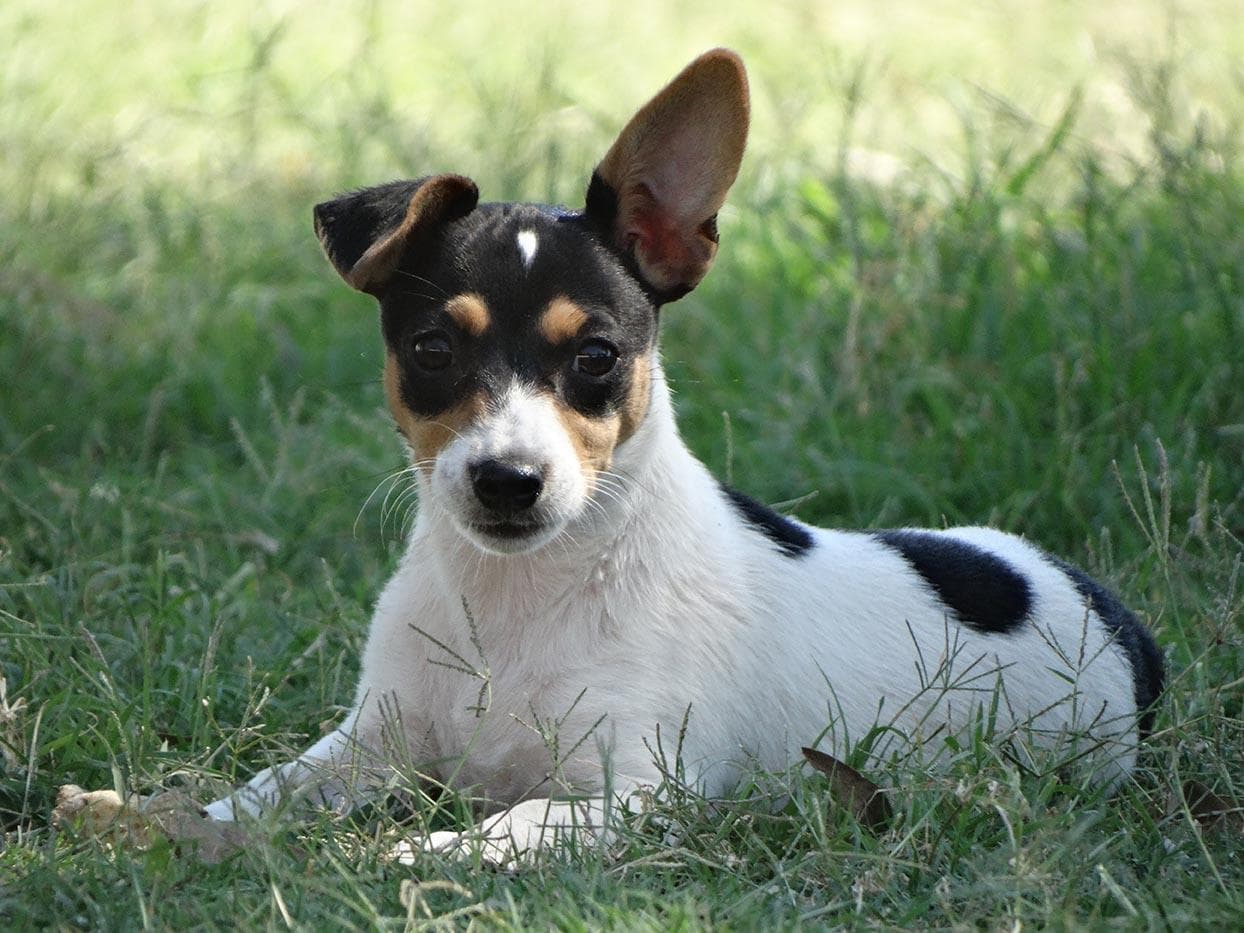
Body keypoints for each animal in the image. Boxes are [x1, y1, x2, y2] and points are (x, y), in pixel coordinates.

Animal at [204, 51, 1164, 865]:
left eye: (597, 356)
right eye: (432, 349)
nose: (508, 481)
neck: (520, 603)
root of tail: (1117, 621)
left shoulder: (642, 793)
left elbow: (512, 822)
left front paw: (414, 853)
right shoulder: (372, 739)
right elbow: (267, 788)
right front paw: (197, 826)